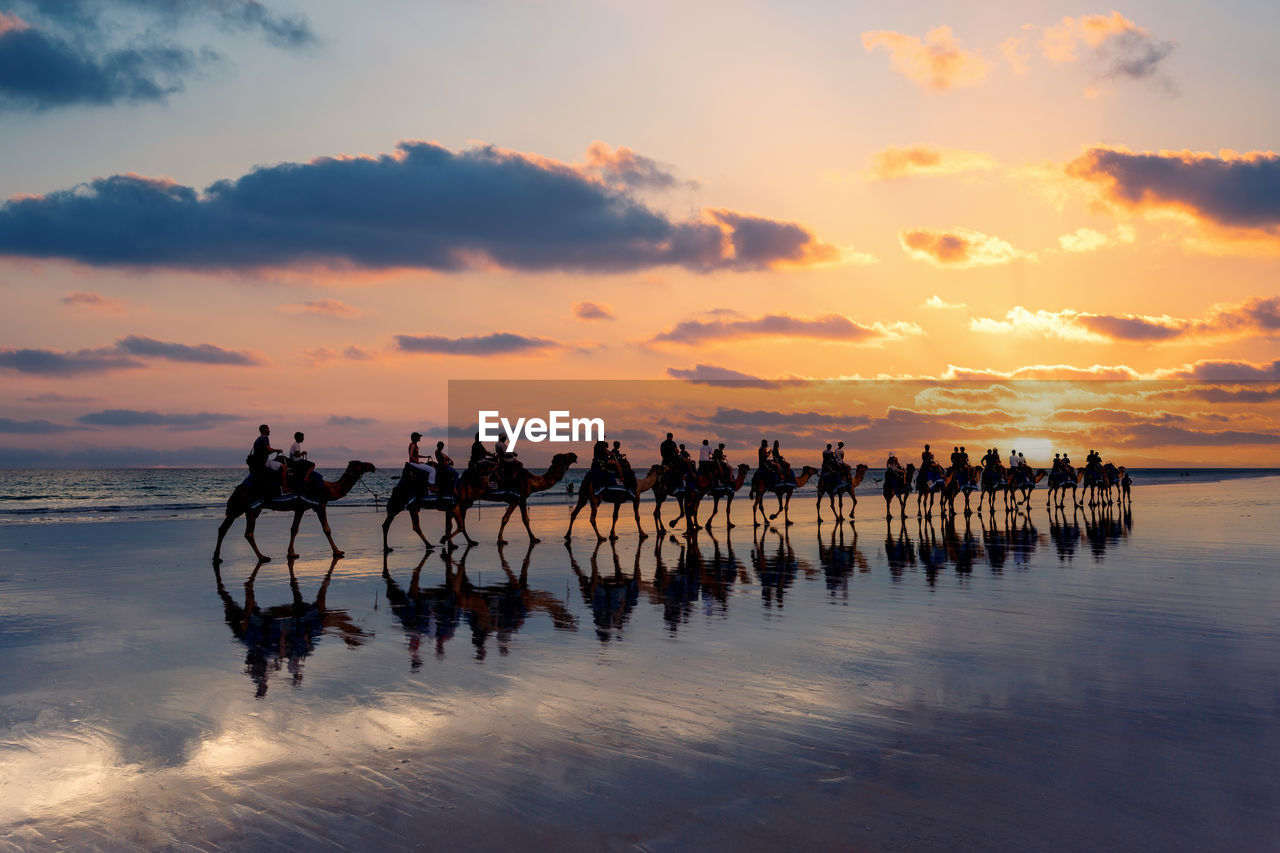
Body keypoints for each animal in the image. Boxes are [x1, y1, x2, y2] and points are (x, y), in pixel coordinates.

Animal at [212, 458, 373, 563]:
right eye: (360, 464)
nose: (372, 466)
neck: (328, 489)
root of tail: (238, 489)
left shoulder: (300, 507)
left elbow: (294, 529)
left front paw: (291, 553)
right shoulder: (319, 504)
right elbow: (326, 529)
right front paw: (338, 551)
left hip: (238, 508)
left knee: (223, 528)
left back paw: (216, 557)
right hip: (251, 508)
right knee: (248, 533)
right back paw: (263, 557)